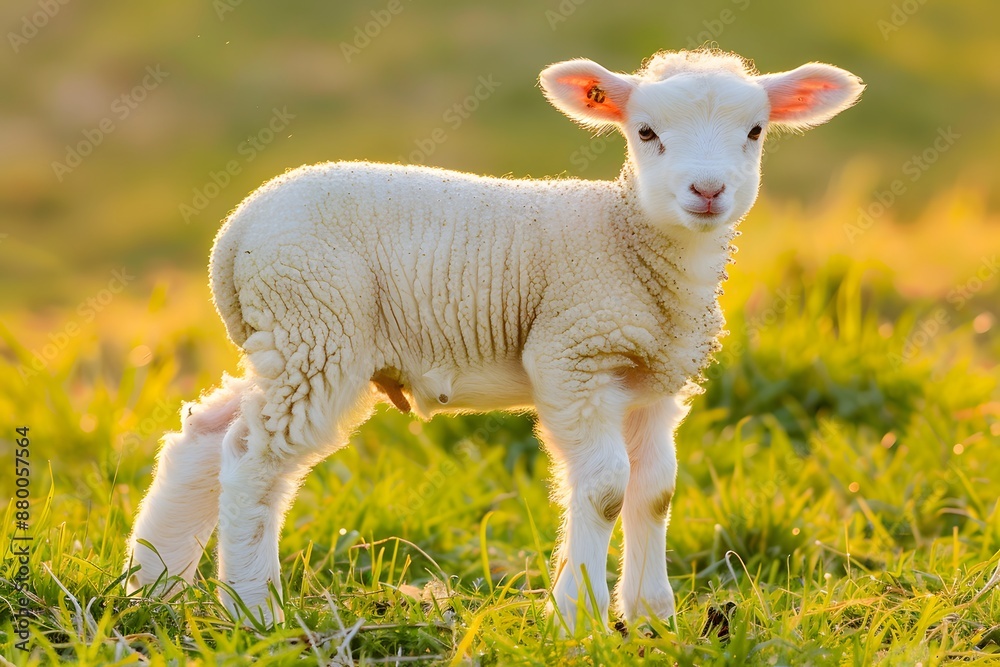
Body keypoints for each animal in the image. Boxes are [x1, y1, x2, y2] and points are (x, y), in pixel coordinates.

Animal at [125, 48, 863, 631]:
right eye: (647, 131)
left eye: (755, 131)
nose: (706, 191)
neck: (630, 239)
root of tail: (235, 233)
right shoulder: (572, 354)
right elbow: (604, 489)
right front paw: (578, 617)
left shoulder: (652, 380)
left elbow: (654, 490)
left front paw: (652, 617)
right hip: (316, 325)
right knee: (253, 459)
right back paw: (253, 610)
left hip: (288, 340)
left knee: (205, 435)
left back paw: (153, 585)